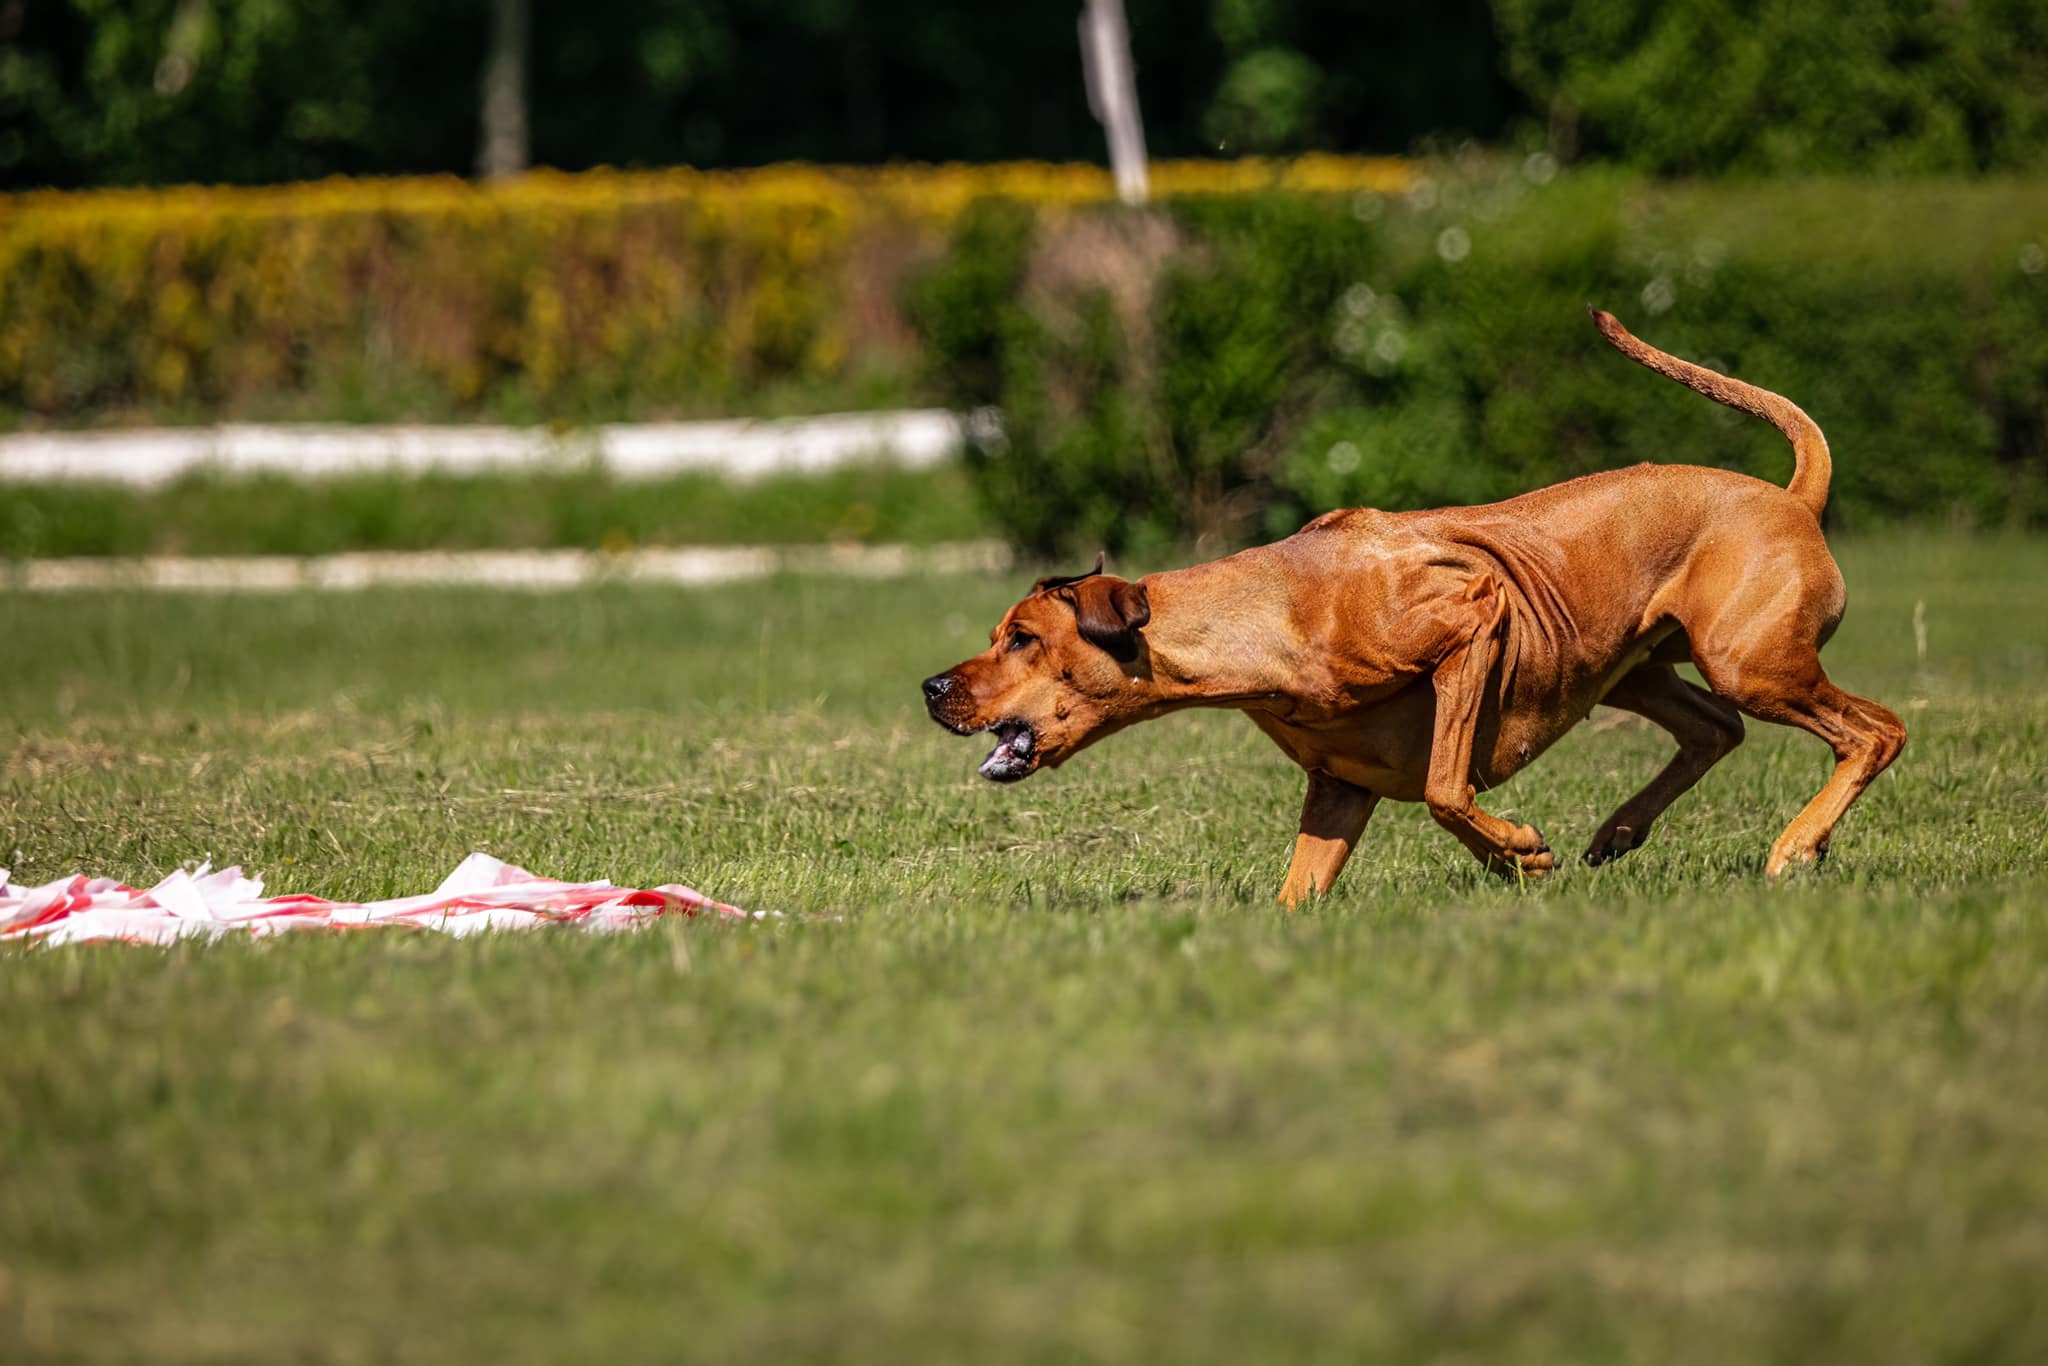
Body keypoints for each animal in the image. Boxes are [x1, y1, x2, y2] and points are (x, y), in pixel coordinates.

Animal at [925, 313, 1900, 909]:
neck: (1264, 621)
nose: (932, 687)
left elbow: (1443, 789)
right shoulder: (1338, 790)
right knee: (1713, 729)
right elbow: (1300, 893)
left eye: (1022, 638)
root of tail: (1793, 497)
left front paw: (1517, 849)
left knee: (1875, 731)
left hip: (1749, 660)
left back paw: (1795, 846)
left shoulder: (1475, 620)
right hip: (1630, 666)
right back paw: (1623, 830)